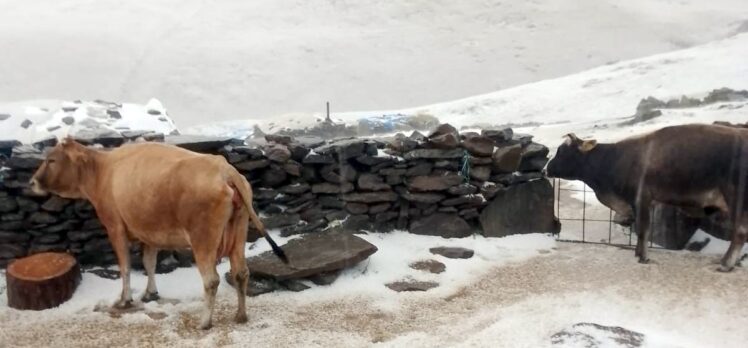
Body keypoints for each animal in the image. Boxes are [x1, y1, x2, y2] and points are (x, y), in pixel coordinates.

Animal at [29, 139, 288, 328]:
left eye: (51, 159)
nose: (32, 182)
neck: (103, 171)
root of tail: (224, 168)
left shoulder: (114, 226)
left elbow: (125, 266)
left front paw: (125, 300)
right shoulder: (149, 232)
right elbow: (149, 263)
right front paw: (150, 293)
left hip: (203, 238)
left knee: (211, 279)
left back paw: (204, 322)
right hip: (239, 231)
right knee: (241, 273)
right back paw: (240, 316)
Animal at [544, 123, 748, 270]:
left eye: (562, 152)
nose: (545, 169)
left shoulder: (641, 197)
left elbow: (643, 229)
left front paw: (643, 257)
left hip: (736, 198)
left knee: (739, 232)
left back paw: (726, 264)